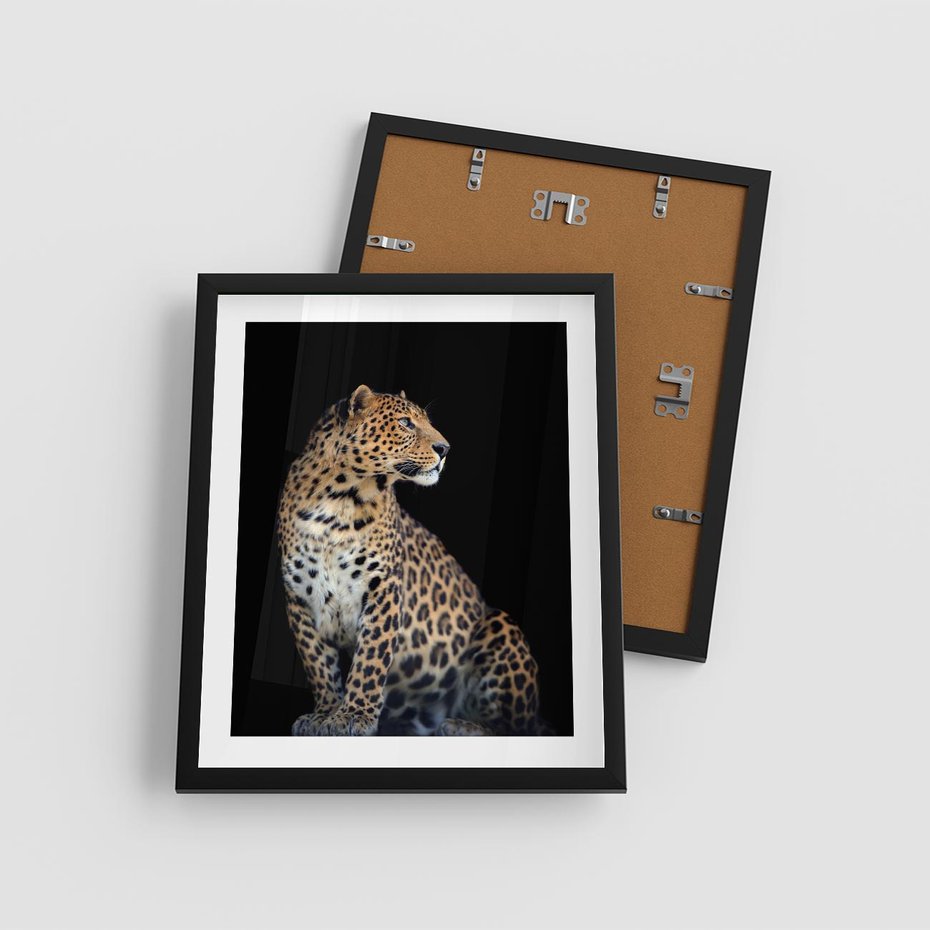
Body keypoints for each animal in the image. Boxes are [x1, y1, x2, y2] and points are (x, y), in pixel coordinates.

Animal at [277, 384, 547, 737]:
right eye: (405, 423)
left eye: (427, 422)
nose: (445, 449)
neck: (337, 501)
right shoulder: (299, 598)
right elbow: (318, 663)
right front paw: (324, 714)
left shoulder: (383, 588)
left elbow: (370, 659)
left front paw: (354, 716)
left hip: (500, 625)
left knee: (518, 726)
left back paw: (463, 726)